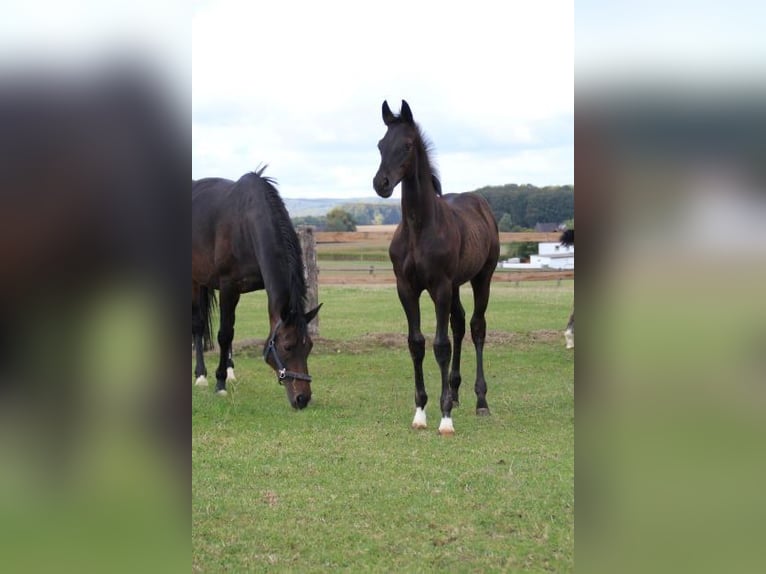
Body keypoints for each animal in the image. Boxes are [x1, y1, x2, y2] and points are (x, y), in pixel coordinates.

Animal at [195, 171, 324, 410]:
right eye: (287, 346)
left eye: (309, 346)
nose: (303, 399)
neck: (245, 222)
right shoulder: (228, 286)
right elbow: (224, 334)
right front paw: (219, 383)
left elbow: (231, 331)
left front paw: (227, 373)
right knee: (198, 325)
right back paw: (200, 376)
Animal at [374, 102, 504, 436]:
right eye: (380, 144)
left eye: (407, 145)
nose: (380, 184)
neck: (419, 228)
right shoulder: (407, 289)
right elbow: (417, 343)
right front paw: (421, 411)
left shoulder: (440, 287)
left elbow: (440, 345)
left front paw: (445, 418)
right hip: (456, 284)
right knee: (458, 324)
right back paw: (455, 392)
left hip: (482, 278)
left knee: (476, 326)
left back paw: (480, 401)